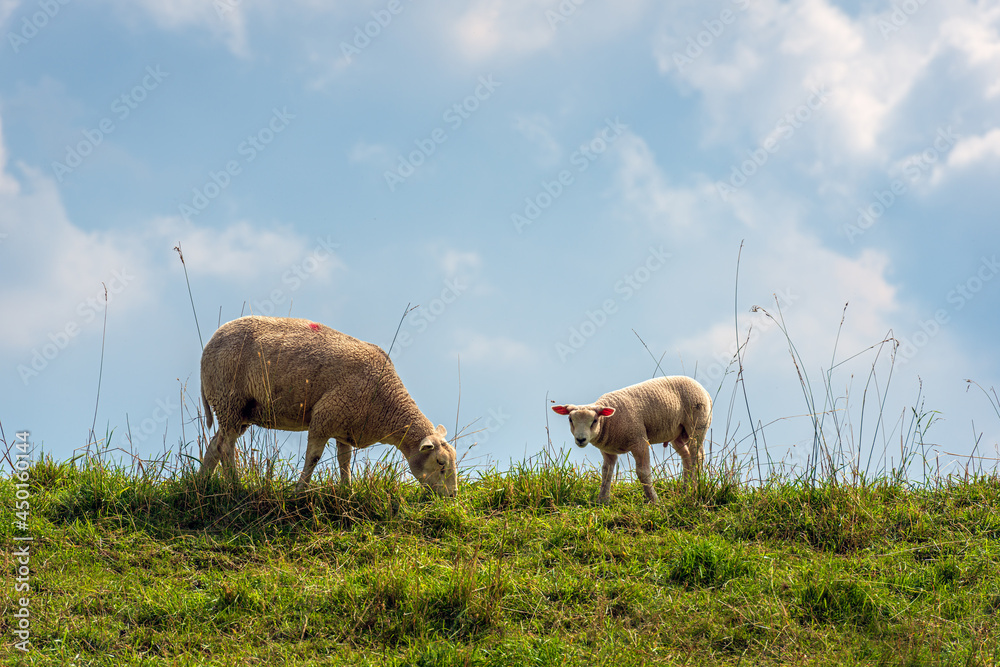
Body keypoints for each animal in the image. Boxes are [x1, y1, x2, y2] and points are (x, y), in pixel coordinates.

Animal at [198, 315, 458, 496]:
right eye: (441, 464)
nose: (452, 497)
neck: (385, 399)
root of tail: (209, 345)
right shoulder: (323, 418)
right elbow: (313, 458)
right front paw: (299, 491)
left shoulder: (345, 426)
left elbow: (345, 461)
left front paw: (347, 491)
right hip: (229, 399)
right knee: (226, 447)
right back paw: (235, 486)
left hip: (238, 411)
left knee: (215, 446)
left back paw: (201, 483)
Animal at [551, 376, 712, 503]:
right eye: (570, 419)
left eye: (595, 421)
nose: (581, 439)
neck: (609, 421)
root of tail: (704, 391)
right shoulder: (608, 451)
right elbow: (606, 473)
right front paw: (602, 501)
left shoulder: (639, 440)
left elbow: (643, 472)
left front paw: (654, 500)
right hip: (677, 433)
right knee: (686, 456)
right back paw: (686, 489)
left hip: (697, 424)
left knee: (697, 456)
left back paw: (693, 488)